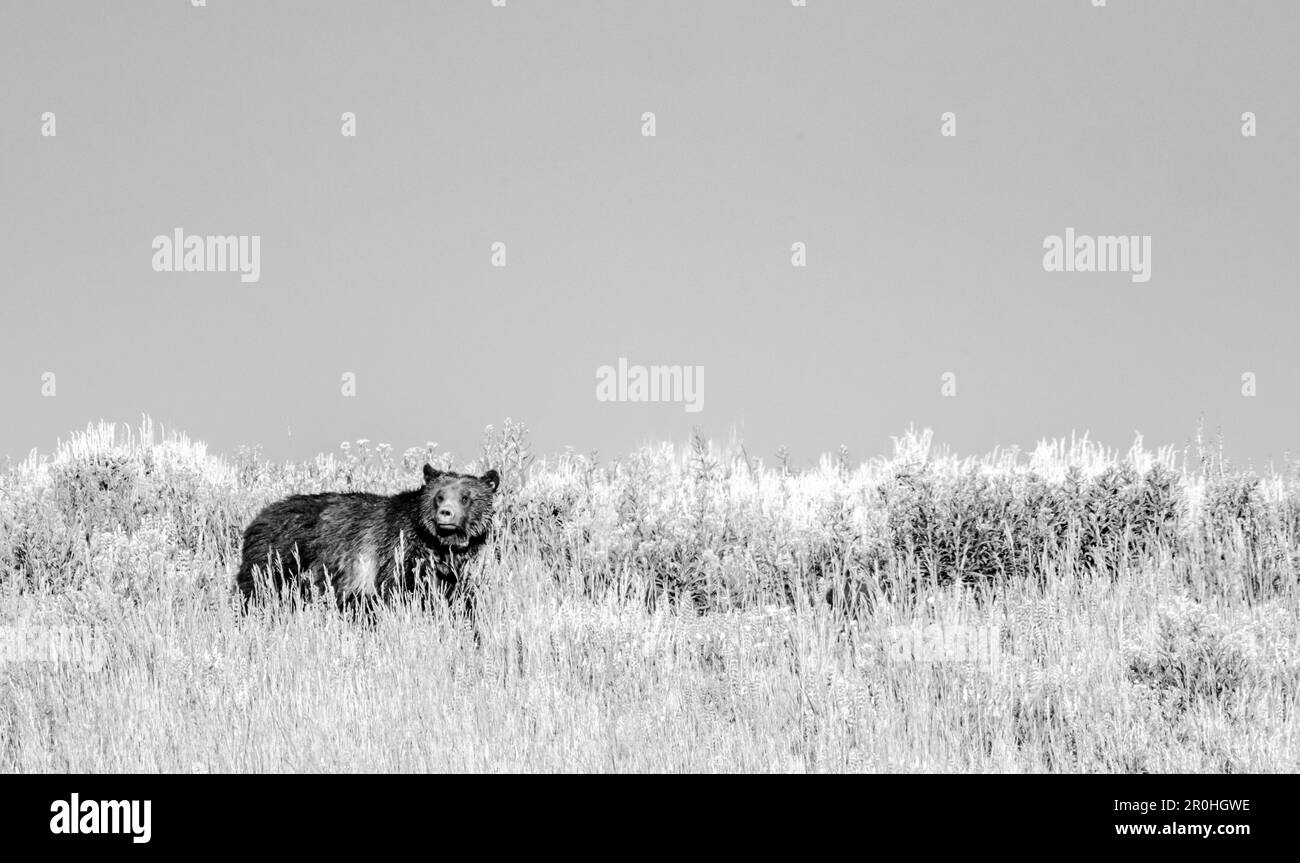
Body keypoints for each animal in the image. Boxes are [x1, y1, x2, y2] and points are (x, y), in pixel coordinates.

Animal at [233, 465, 496, 613]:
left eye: (465, 497)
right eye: (439, 496)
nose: (446, 514)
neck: (435, 543)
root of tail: (258, 518)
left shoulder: (447, 571)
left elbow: (454, 597)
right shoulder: (397, 553)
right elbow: (397, 593)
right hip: (277, 559)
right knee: (256, 592)